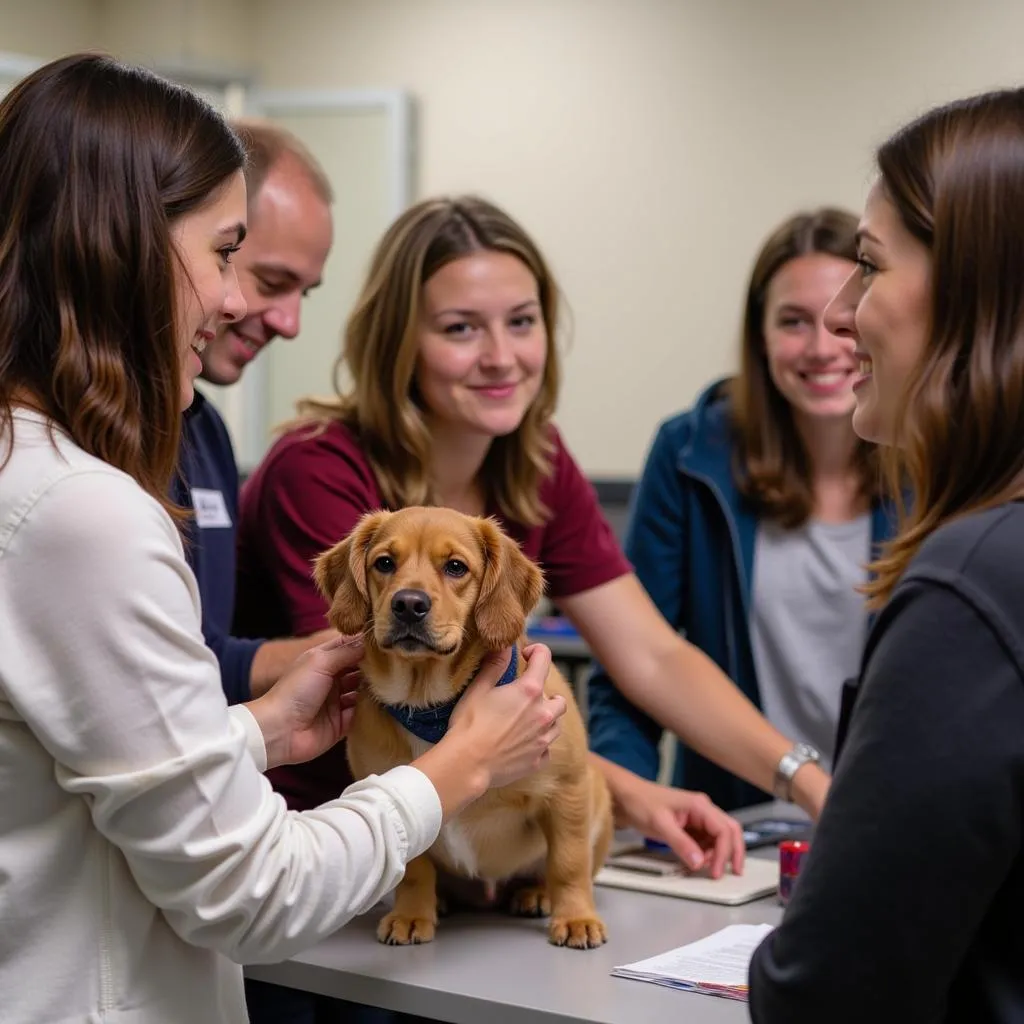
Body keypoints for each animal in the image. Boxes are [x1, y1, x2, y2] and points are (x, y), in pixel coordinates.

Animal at [315, 507, 610, 946]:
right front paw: (411, 914)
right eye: (384, 563)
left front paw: (575, 917)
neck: (429, 703)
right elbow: (415, 870)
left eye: (456, 567)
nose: (409, 603)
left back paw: (538, 894)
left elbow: (569, 863)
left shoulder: (567, 790)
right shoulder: (399, 792)